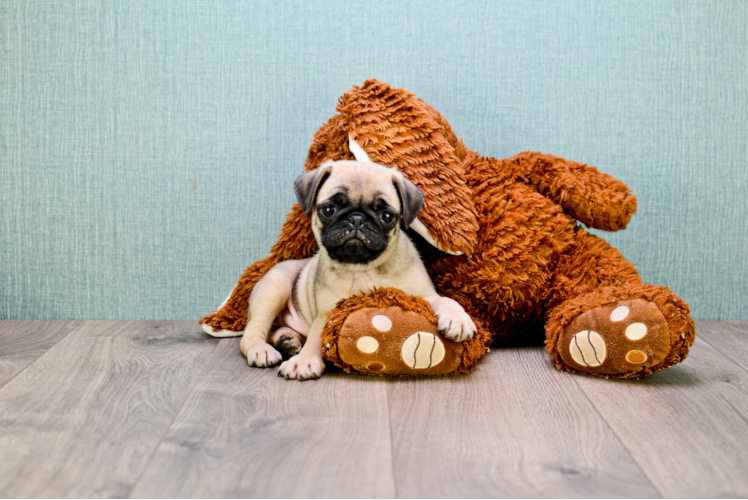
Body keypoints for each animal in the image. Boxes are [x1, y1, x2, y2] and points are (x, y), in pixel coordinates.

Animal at [240, 160, 476, 378]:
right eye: (328, 210)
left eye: (387, 216)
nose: (356, 219)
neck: (363, 269)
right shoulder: (327, 313)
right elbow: (317, 337)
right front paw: (305, 361)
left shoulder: (422, 295)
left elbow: (446, 300)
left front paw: (458, 319)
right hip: (274, 287)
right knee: (253, 332)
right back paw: (263, 349)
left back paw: (287, 340)